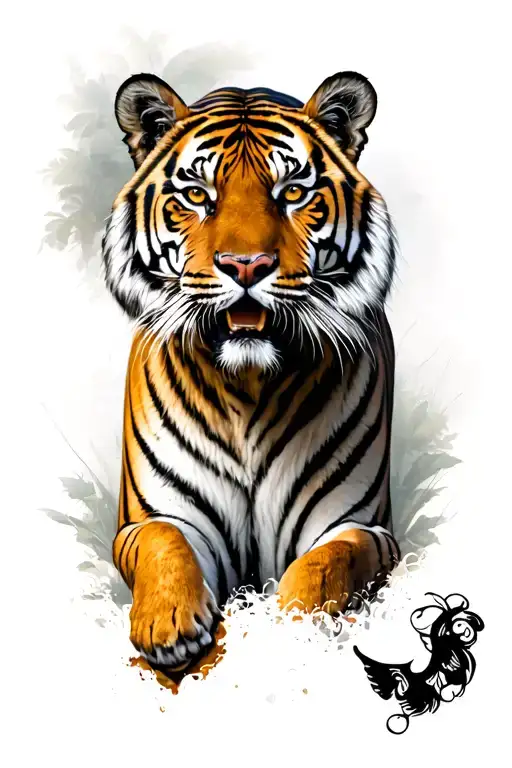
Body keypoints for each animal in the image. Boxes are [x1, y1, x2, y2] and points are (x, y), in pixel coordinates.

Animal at [102, 69, 400, 674]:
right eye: (197, 195)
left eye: (293, 192)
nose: (246, 266)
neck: (248, 385)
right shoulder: (153, 518)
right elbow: (164, 540)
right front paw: (169, 624)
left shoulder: (360, 525)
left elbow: (327, 564)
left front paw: (289, 628)